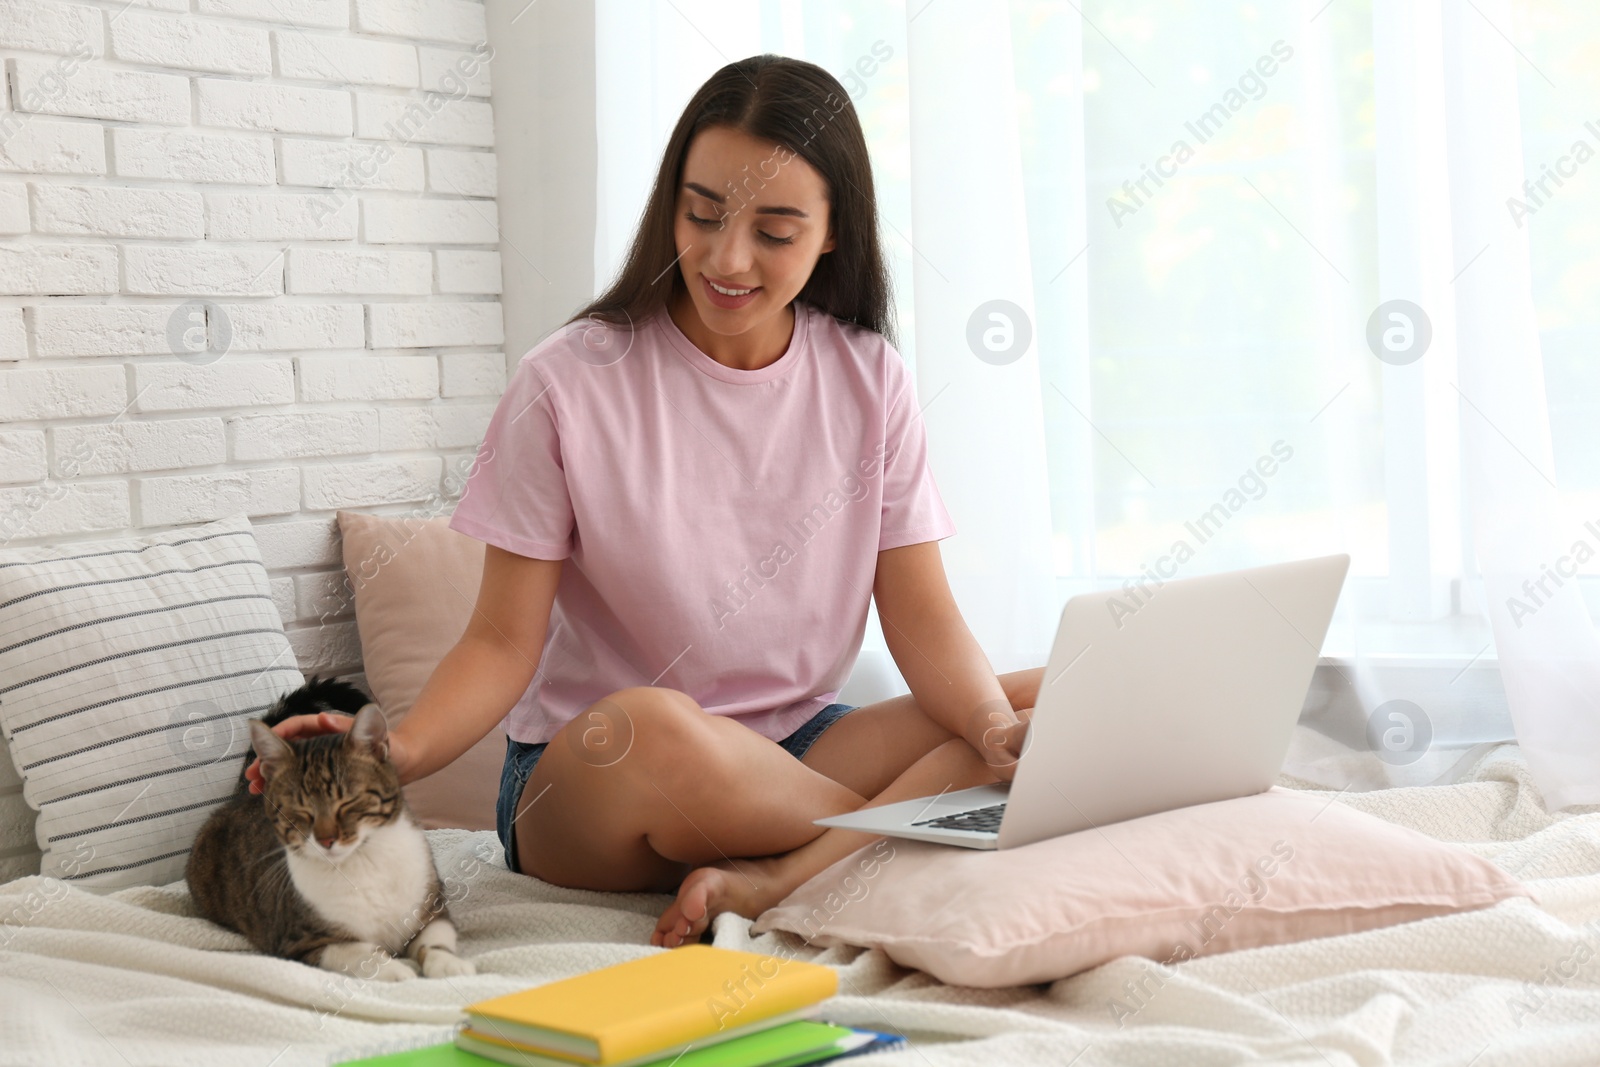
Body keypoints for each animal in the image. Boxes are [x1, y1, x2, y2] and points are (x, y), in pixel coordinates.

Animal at [186, 681, 470, 979]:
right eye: (299, 810)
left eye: (348, 802)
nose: (326, 840)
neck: (364, 864)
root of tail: (241, 796)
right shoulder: (303, 943)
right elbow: (360, 954)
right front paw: (394, 970)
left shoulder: (433, 911)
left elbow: (434, 940)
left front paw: (448, 963)